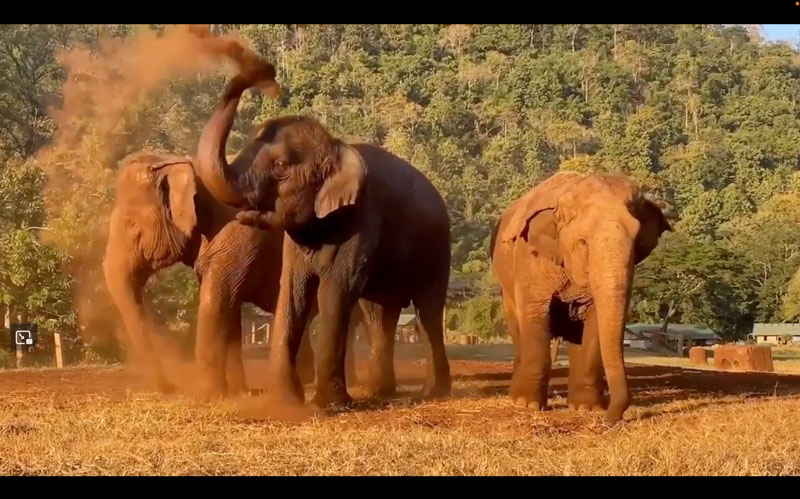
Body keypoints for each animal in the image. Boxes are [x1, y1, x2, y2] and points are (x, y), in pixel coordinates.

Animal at [102, 150, 362, 400]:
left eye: (131, 224)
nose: (171, 388)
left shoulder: (240, 232)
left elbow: (215, 301)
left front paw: (208, 396)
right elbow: (230, 308)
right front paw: (238, 392)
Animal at [191, 74, 454, 410]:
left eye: (280, 166)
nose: (263, 76)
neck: (336, 145)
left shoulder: (363, 216)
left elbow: (336, 287)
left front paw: (328, 405)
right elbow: (293, 288)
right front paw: (286, 401)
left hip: (438, 248)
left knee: (427, 311)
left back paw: (433, 393)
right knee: (380, 313)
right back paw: (379, 392)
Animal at [490, 171, 672, 422]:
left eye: (637, 243)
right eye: (583, 242)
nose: (610, 419)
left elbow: (594, 324)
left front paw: (587, 408)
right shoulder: (531, 261)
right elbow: (535, 315)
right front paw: (528, 405)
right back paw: (517, 396)